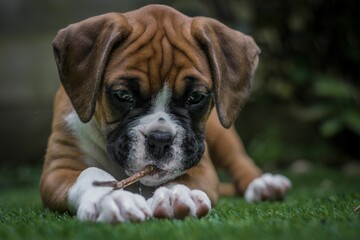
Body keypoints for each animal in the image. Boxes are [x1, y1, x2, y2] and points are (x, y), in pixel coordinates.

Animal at [40, 4, 292, 222]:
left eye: (196, 97)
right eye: (122, 95)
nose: (160, 139)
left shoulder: (201, 166)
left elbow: (184, 179)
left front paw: (175, 194)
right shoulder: (58, 168)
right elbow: (90, 173)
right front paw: (113, 199)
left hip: (222, 134)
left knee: (239, 160)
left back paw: (263, 184)